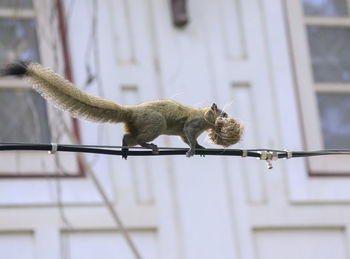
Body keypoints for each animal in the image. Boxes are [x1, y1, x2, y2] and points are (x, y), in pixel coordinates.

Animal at [2, 62, 235, 158]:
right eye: (223, 114)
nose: (228, 118)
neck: (203, 114)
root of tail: (130, 111)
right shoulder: (191, 124)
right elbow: (188, 136)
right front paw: (193, 151)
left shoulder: (187, 131)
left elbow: (187, 138)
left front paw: (201, 149)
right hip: (156, 123)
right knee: (135, 138)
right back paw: (149, 147)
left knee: (129, 136)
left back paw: (125, 150)